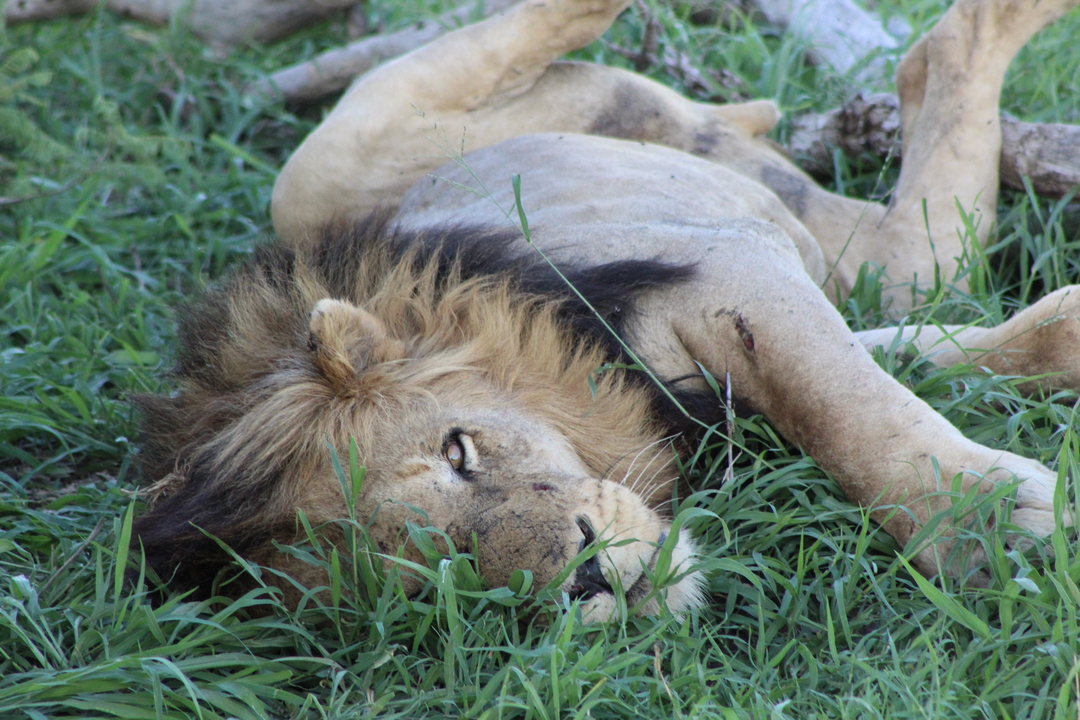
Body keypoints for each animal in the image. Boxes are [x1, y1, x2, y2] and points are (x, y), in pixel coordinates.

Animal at [136, 0, 1079, 619]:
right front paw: (1055, 348)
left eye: (457, 451)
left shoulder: (724, 268)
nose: (587, 575)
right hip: (877, 252)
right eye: (438, 570)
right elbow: (910, 360)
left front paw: (992, 530)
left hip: (318, 179)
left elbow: (846, 409)